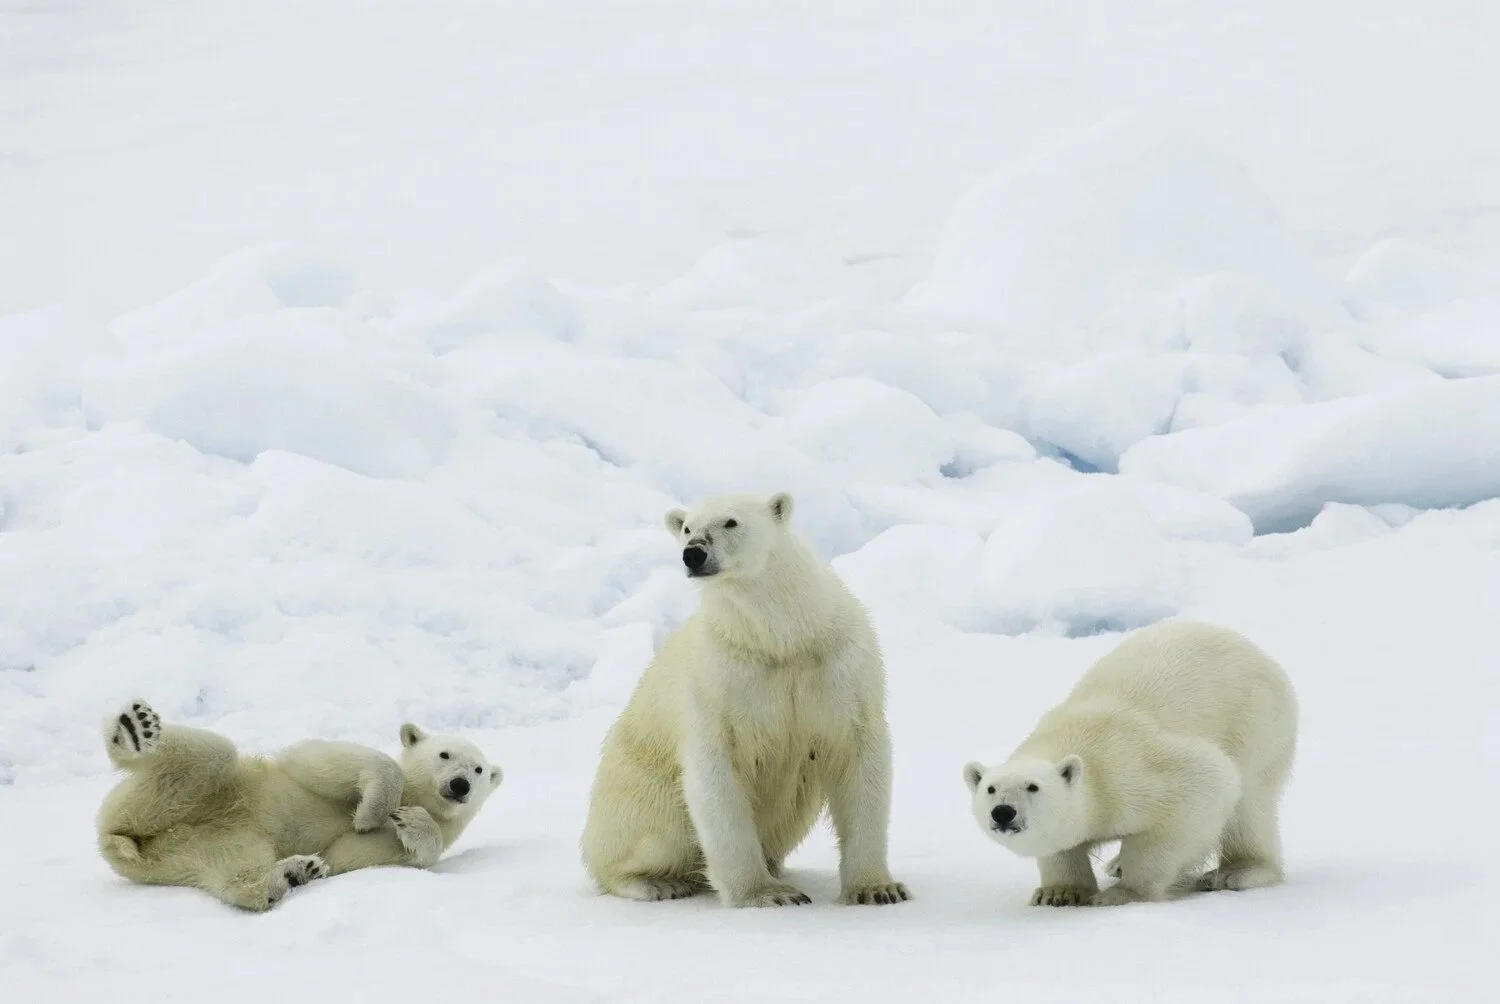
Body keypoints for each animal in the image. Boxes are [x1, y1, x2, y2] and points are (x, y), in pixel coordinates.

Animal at [97, 701, 502, 911]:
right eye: (444, 754)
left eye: (479, 770)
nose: (460, 784)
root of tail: (124, 843)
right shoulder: (313, 766)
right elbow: (329, 761)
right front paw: (369, 813)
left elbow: (361, 852)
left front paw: (411, 822)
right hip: (206, 794)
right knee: (210, 755)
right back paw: (135, 730)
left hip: (201, 845)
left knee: (237, 867)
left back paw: (292, 873)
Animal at [580, 491, 909, 908]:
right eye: (687, 527)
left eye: (731, 521)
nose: (693, 553)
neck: (781, 638)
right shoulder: (718, 681)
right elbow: (716, 773)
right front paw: (767, 894)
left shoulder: (839, 666)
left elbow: (856, 754)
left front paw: (878, 889)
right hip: (637, 796)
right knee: (651, 837)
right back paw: (658, 883)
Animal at [962, 619, 1297, 907]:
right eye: (991, 789)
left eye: (1033, 787)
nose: (1003, 812)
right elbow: (1061, 845)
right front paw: (1058, 893)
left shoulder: (1132, 770)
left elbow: (1207, 784)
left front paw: (1121, 894)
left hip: (1256, 721)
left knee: (1249, 802)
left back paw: (1234, 871)